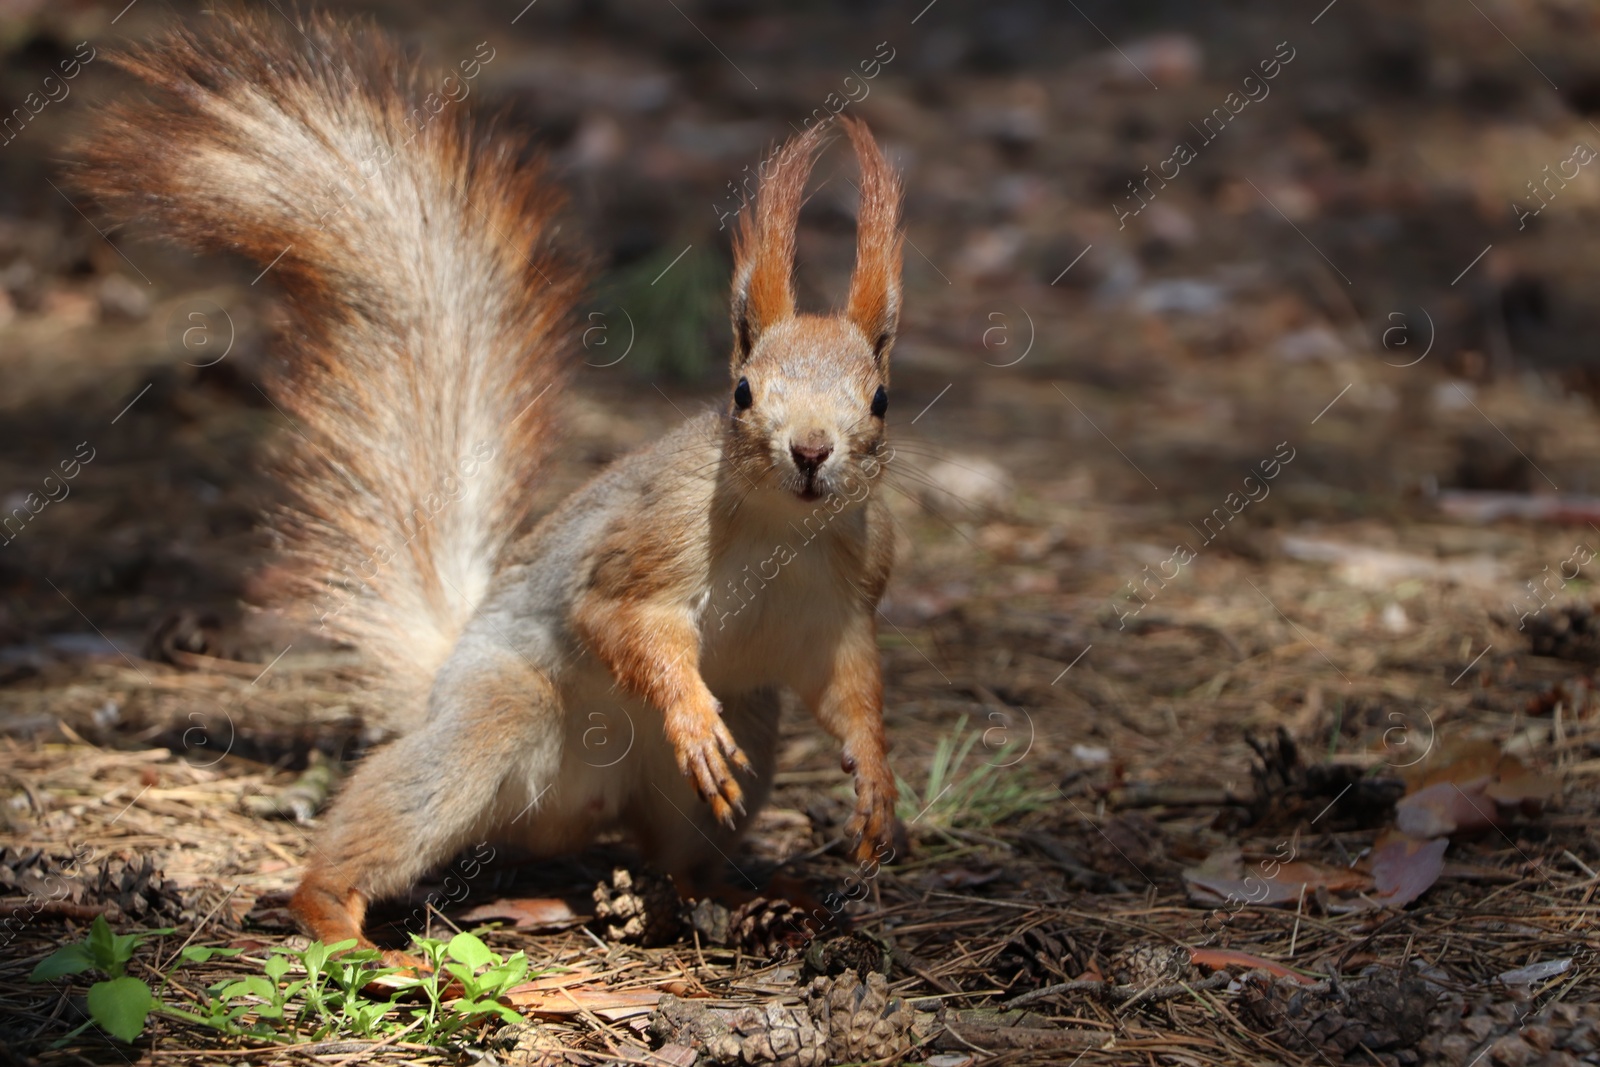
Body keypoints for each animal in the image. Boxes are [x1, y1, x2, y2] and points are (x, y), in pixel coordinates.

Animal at [81, 12, 908, 953]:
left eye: (879, 400)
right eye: (741, 392)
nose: (810, 451)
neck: (780, 527)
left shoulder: (853, 590)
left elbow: (851, 689)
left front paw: (877, 784)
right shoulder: (649, 534)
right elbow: (617, 617)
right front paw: (692, 715)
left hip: (743, 739)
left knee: (684, 856)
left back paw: (753, 895)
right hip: (494, 714)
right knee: (388, 815)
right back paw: (344, 922)